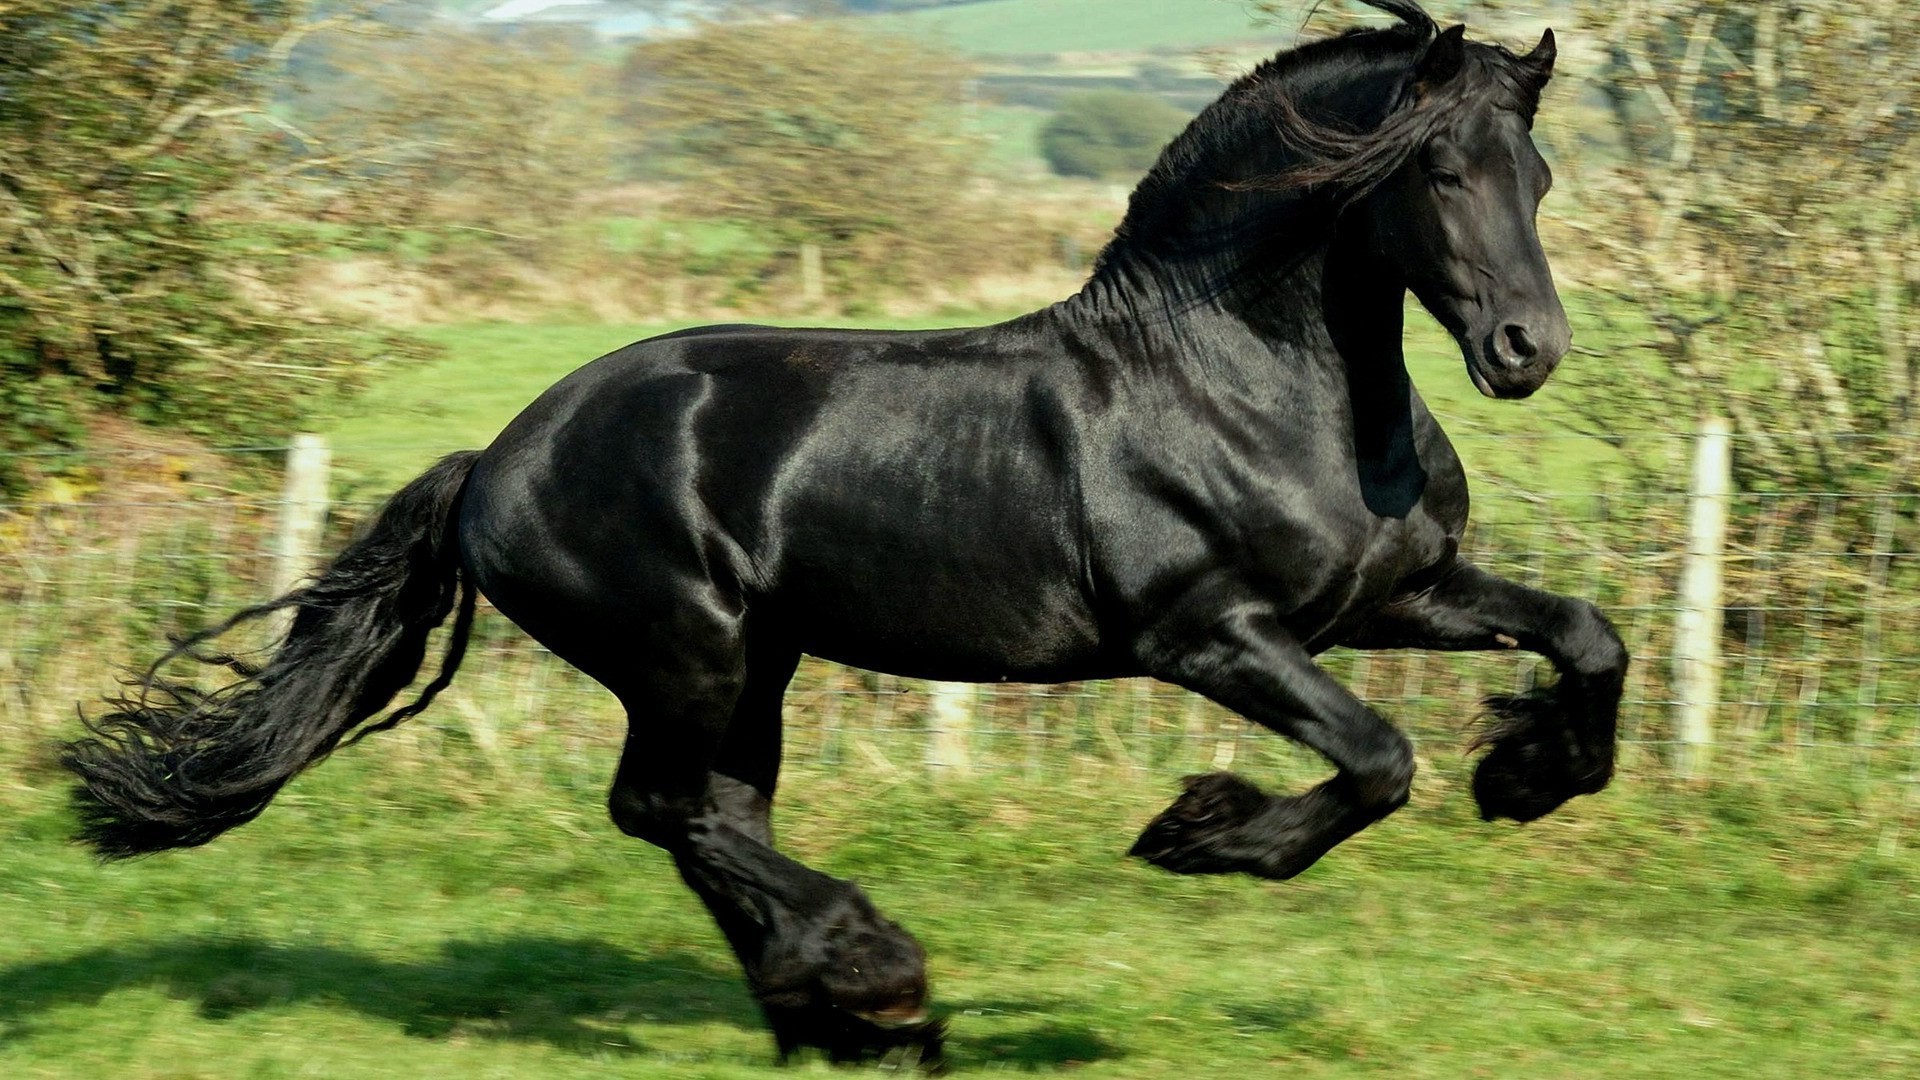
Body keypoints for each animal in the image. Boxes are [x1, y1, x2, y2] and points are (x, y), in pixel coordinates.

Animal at [63, 0, 1620, 1060]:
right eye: (1439, 175)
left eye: (1538, 178)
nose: (1527, 352)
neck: (1243, 382)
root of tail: (496, 458)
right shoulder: (1211, 636)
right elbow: (1375, 760)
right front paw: (1198, 833)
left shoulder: (1391, 598)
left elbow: (1587, 639)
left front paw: (1530, 777)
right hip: (685, 651)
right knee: (671, 809)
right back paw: (875, 977)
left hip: (756, 663)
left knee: (711, 818)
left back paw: (837, 1018)